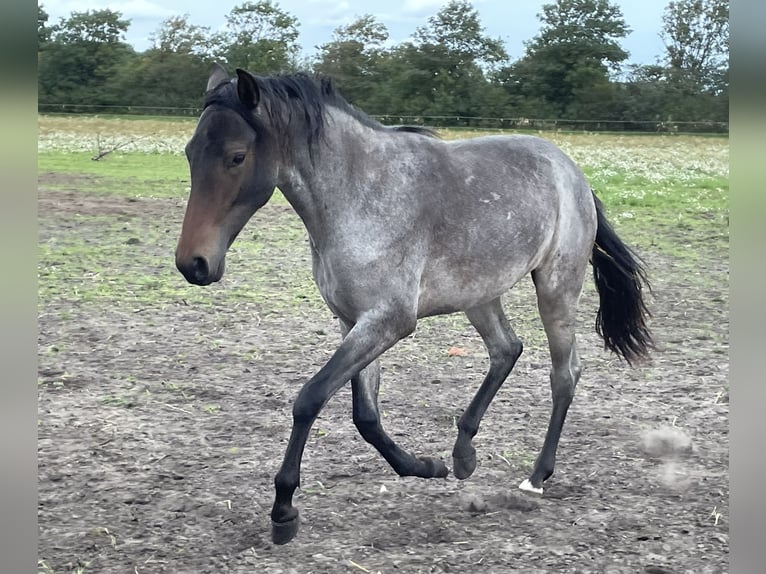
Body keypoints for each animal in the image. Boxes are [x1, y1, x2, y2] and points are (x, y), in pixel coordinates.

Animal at [175, 64, 653, 545]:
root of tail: (573, 172)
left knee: (564, 374)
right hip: (479, 294)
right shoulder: (352, 321)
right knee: (506, 349)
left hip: (556, 288)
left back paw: (536, 476)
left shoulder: (389, 321)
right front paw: (426, 466)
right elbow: (365, 416)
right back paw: (463, 454)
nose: (193, 264)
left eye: (236, 156)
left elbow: (310, 398)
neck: (359, 195)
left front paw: (284, 509)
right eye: (190, 154)